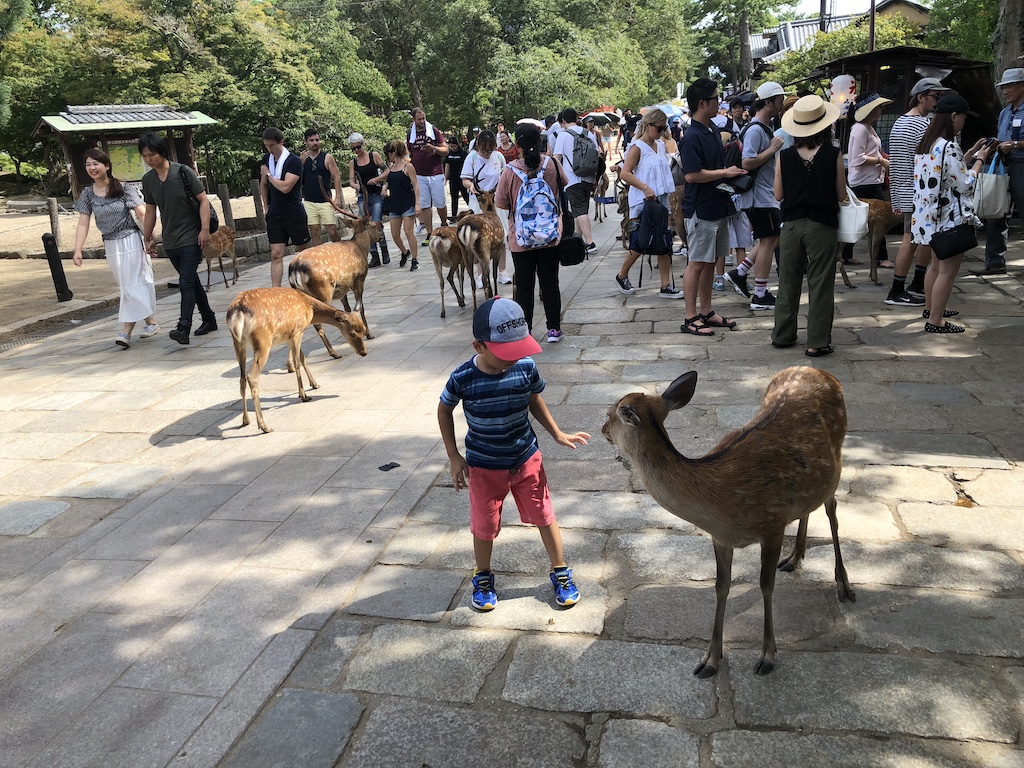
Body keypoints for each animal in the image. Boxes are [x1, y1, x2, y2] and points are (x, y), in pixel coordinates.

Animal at [228, 286, 368, 434]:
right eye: (352, 332)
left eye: (364, 329)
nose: (364, 352)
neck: (308, 307)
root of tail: (238, 312)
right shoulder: (297, 331)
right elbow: (297, 362)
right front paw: (304, 395)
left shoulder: (288, 336)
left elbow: (302, 358)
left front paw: (315, 384)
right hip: (263, 341)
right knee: (251, 376)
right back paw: (264, 426)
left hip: (238, 342)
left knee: (242, 378)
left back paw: (245, 420)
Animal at [286, 214, 382, 352]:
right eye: (374, 225)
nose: (381, 236)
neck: (360, 248)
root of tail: (295, 269)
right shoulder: (359, 279)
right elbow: (361, 308)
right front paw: (369, 334)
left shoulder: (342, 288)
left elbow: (347, 309)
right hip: (322, 290)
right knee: (317, 322)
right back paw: (333, 352)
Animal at [598, 368, 856, 679]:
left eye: (610, 413)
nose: (602, 429)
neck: (721, 501)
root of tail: (821, 372)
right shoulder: (721, 537)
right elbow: (721, 587)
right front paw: (710, 659)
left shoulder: (772, 524)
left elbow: (765, 585)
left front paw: (767, 655)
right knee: (808, 507)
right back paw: (794, 558)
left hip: (838, 458)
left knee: (831, 509)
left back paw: (843, 584)